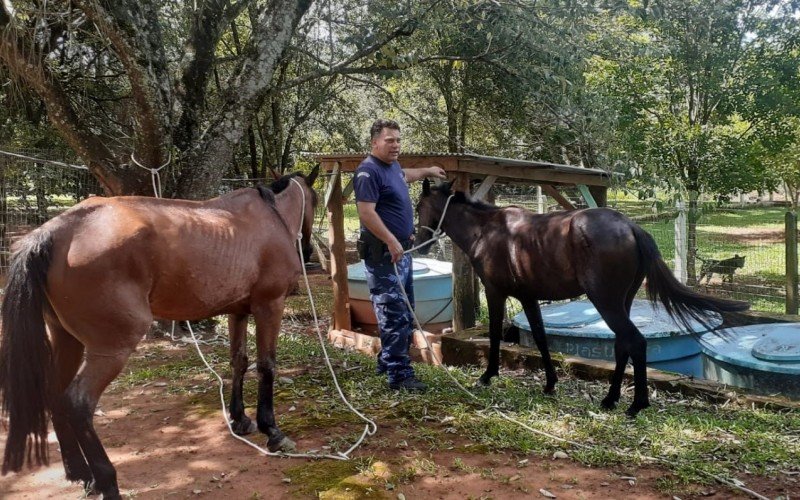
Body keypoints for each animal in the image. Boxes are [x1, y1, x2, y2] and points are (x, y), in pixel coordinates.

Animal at [0, 167, 318, 496]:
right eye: (316, 201)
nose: (308, 252)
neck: (270, 216)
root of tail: (58, 230)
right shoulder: (270, 306)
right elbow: (266, 366)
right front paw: (273, 431)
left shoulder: (239, 311)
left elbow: (239, 362)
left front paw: (240, 419)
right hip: (110, 350)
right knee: (77, 403)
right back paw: (106, 480)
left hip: (67, 341)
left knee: (54, 395)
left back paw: (81, 474)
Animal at [416, 182, 748, 416]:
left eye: (419, 206)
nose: (417, 241)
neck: (487, 231)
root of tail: (631, 227)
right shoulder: (528, 298)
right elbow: (540, 338)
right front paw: (550, 383)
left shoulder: (495, 292)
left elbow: (496, 335)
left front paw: (488, 375)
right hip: (621, 302)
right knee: (622, 344)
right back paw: (611, 398)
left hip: (606, 301)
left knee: (635, 342)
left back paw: (636, 404)